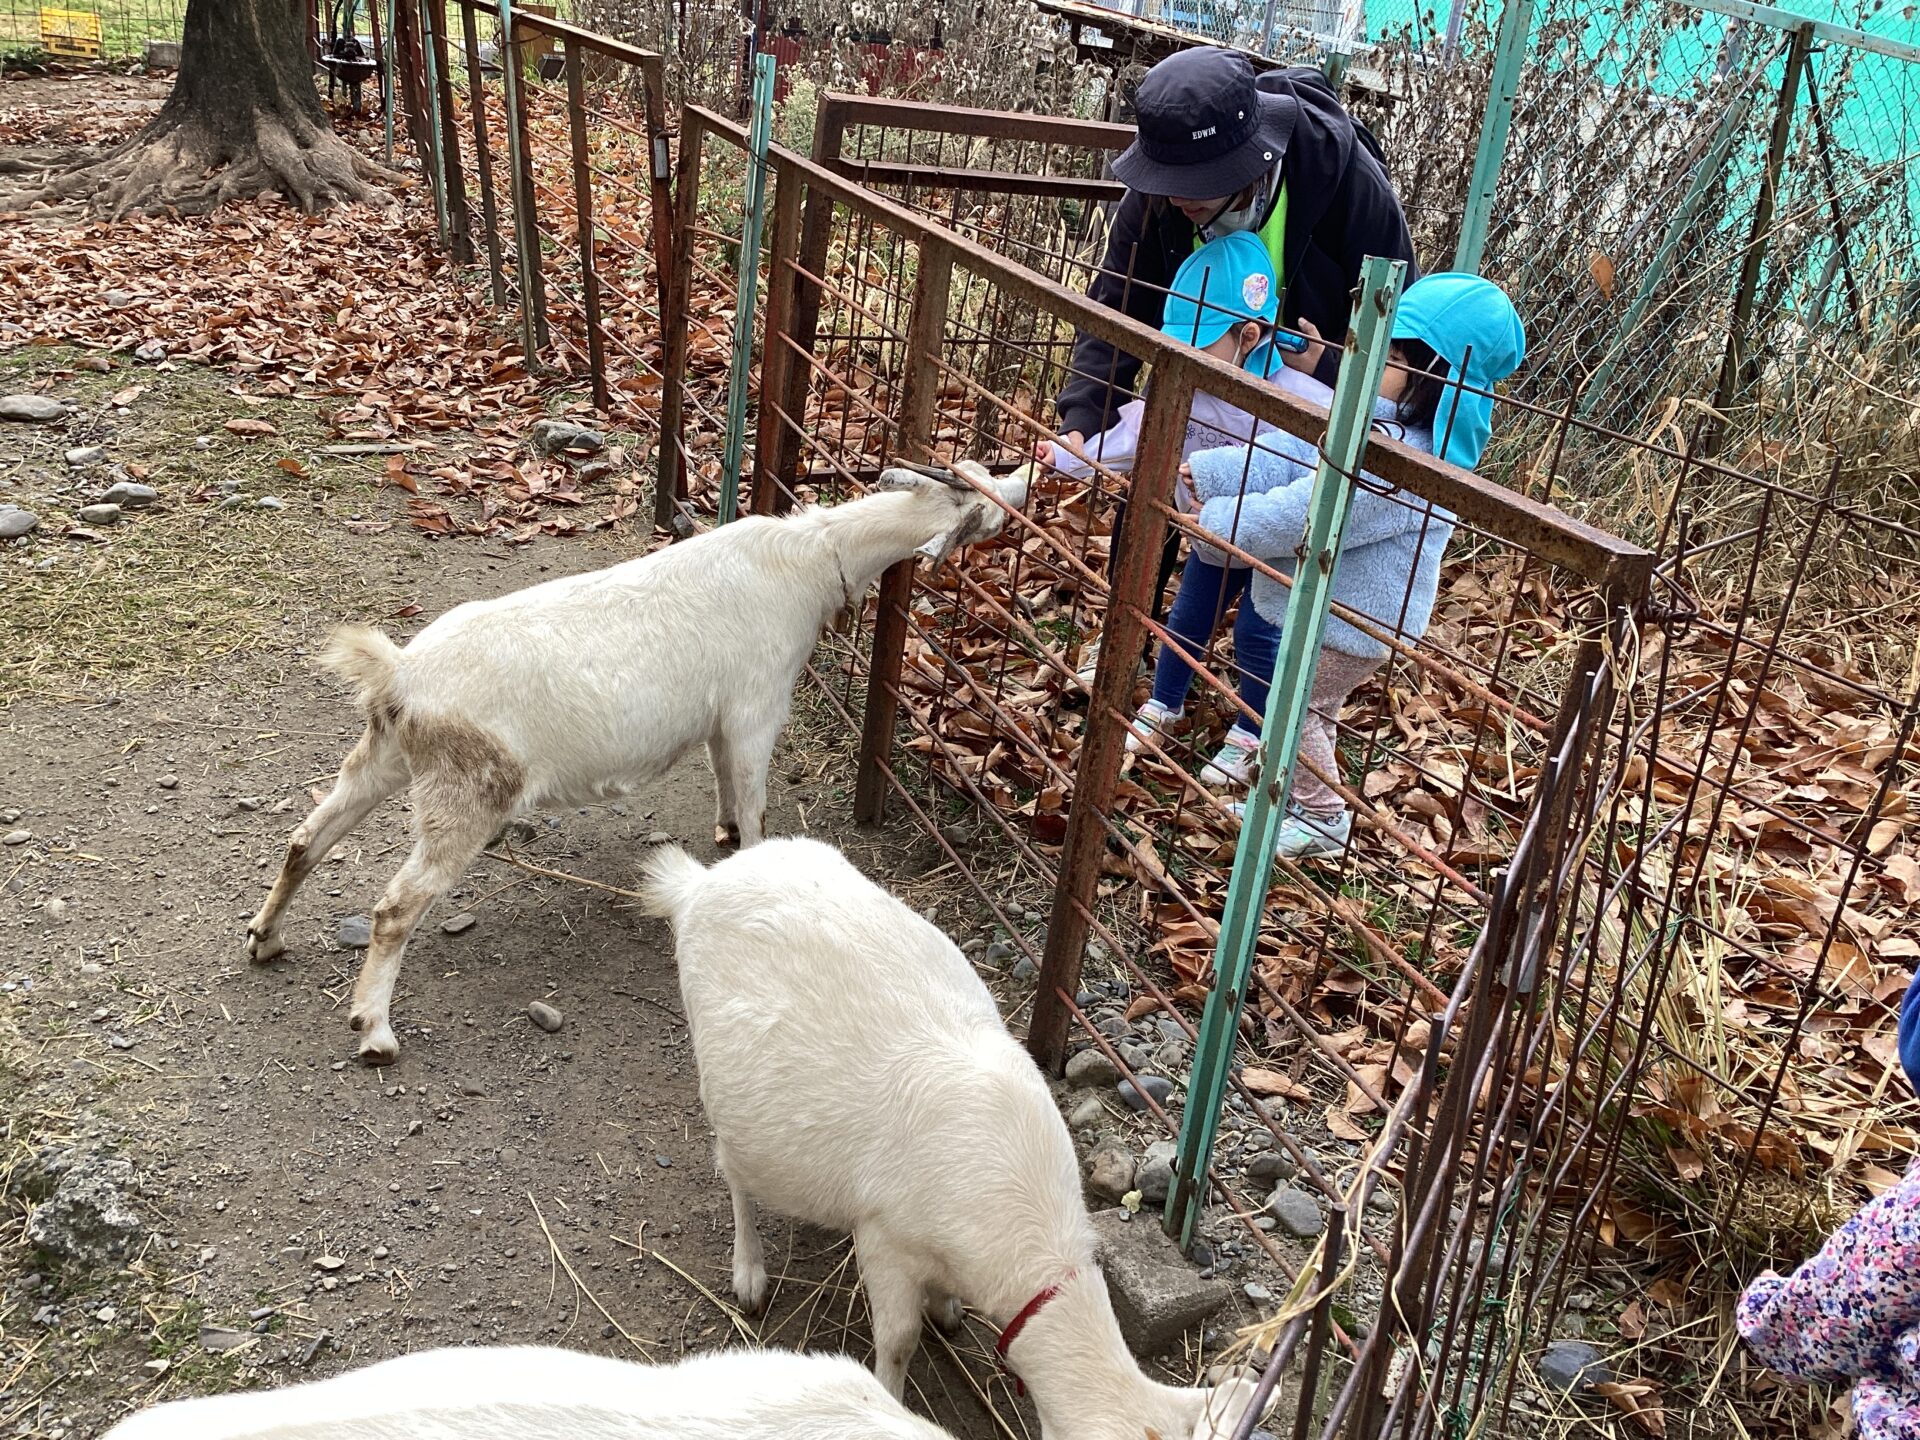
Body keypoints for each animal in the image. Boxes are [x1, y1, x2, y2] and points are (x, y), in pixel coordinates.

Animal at [246, 462, 1027, 1064]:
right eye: (981, 499)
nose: (1019, 496)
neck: (805, 561)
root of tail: (399, 676)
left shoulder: (718, 719)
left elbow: (723, 780)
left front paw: (722, 837)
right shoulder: (756, 705)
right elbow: (753, 798)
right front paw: (755, 859)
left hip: (385, 759)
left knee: (305, 839)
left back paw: (265, 939)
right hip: (468, 791)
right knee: (394, 907)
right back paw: (374, 1030)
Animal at [639, 837, 1263, 1440]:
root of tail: (699, 883)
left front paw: (948, 1310)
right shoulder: (885, 1238)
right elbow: (897, 1341)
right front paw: (891, 1395)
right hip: (723, 1087)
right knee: (734, 1175)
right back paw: (749, 1274)